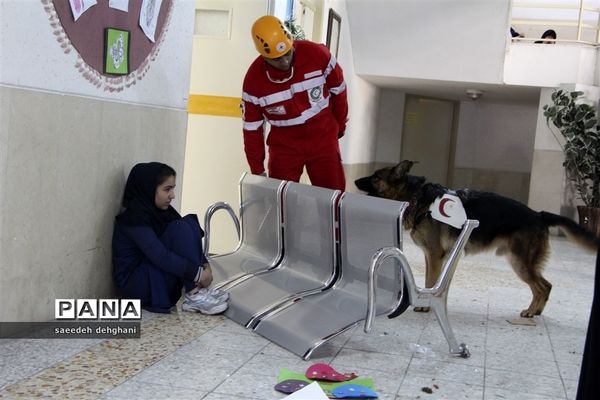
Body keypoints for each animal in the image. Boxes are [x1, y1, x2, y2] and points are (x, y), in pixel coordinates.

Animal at [354, 161, 596, 318]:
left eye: (375, 177)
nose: (355, 180)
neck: (416, 198)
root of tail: (538, 214)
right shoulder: (432, 257)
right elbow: (431, 282)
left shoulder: (434, 255)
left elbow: (430, 282)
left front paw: (424, 307)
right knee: (544, 286)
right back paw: (535, 311)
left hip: (520, 262)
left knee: (544, 286)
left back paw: (531, 311)